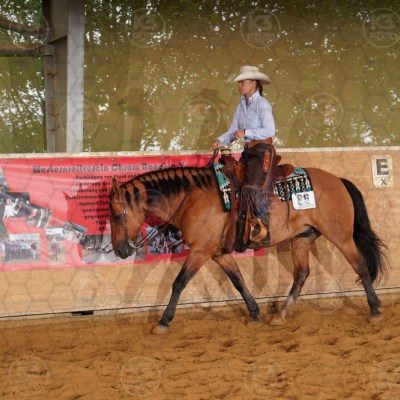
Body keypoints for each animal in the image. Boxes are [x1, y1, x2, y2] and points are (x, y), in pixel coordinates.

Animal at [109, 157, 388, 330]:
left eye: (116, 215)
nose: (120, 250)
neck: (191, 198)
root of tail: (338, 180)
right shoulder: (218, 253)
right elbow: (238, 280)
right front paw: (254, 313)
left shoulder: (200, 251)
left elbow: (179, 282)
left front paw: (164, 321)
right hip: (302, 238)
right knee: (301, 275)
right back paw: (280, 315)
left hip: (340, 235)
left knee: (361, 265)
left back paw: (375, 310)